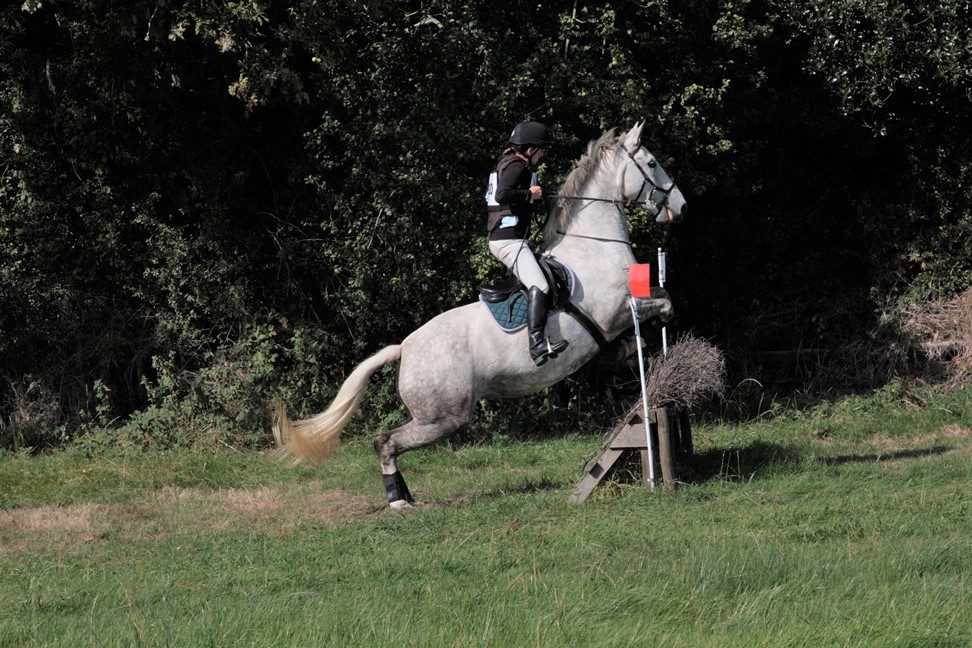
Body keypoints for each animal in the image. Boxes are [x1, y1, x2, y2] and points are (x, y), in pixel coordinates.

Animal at [273, 122, 687, 508]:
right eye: (652, 163)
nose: (681, 206)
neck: (594, 246)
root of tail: (404, 348)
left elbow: (664, 298)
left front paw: (631, 353)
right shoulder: (617, 310)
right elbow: (664, 304)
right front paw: (633, 349)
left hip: (431, 415)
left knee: (385, 439)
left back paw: (405, 495)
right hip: (445, 416)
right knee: (386, 442)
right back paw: (398, 501)